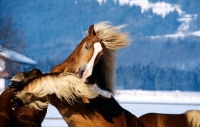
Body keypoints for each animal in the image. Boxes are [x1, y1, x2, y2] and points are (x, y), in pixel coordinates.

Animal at [13, 21, 145, 126]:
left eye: (101, 55)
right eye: (86, 46)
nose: (85, 74)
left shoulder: (67, 95)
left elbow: (48, 79)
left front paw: (19, 95)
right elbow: (43, 76)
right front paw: (17, 82)